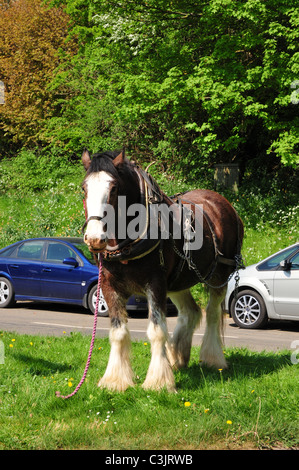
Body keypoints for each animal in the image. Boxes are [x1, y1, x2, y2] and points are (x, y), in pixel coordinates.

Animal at [81, 149, 244, 392]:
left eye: (114, 188)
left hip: (219, 275)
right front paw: (115, 380)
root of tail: (224, 203)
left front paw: (158, 381)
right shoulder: (110, 286)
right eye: (84, 188)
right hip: (178, 281)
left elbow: (157, 331)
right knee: (191, 312)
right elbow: (118, 332)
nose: (94, 238)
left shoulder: (156, 284)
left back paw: (213, 358)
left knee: (212, 313)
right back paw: (176, 357)